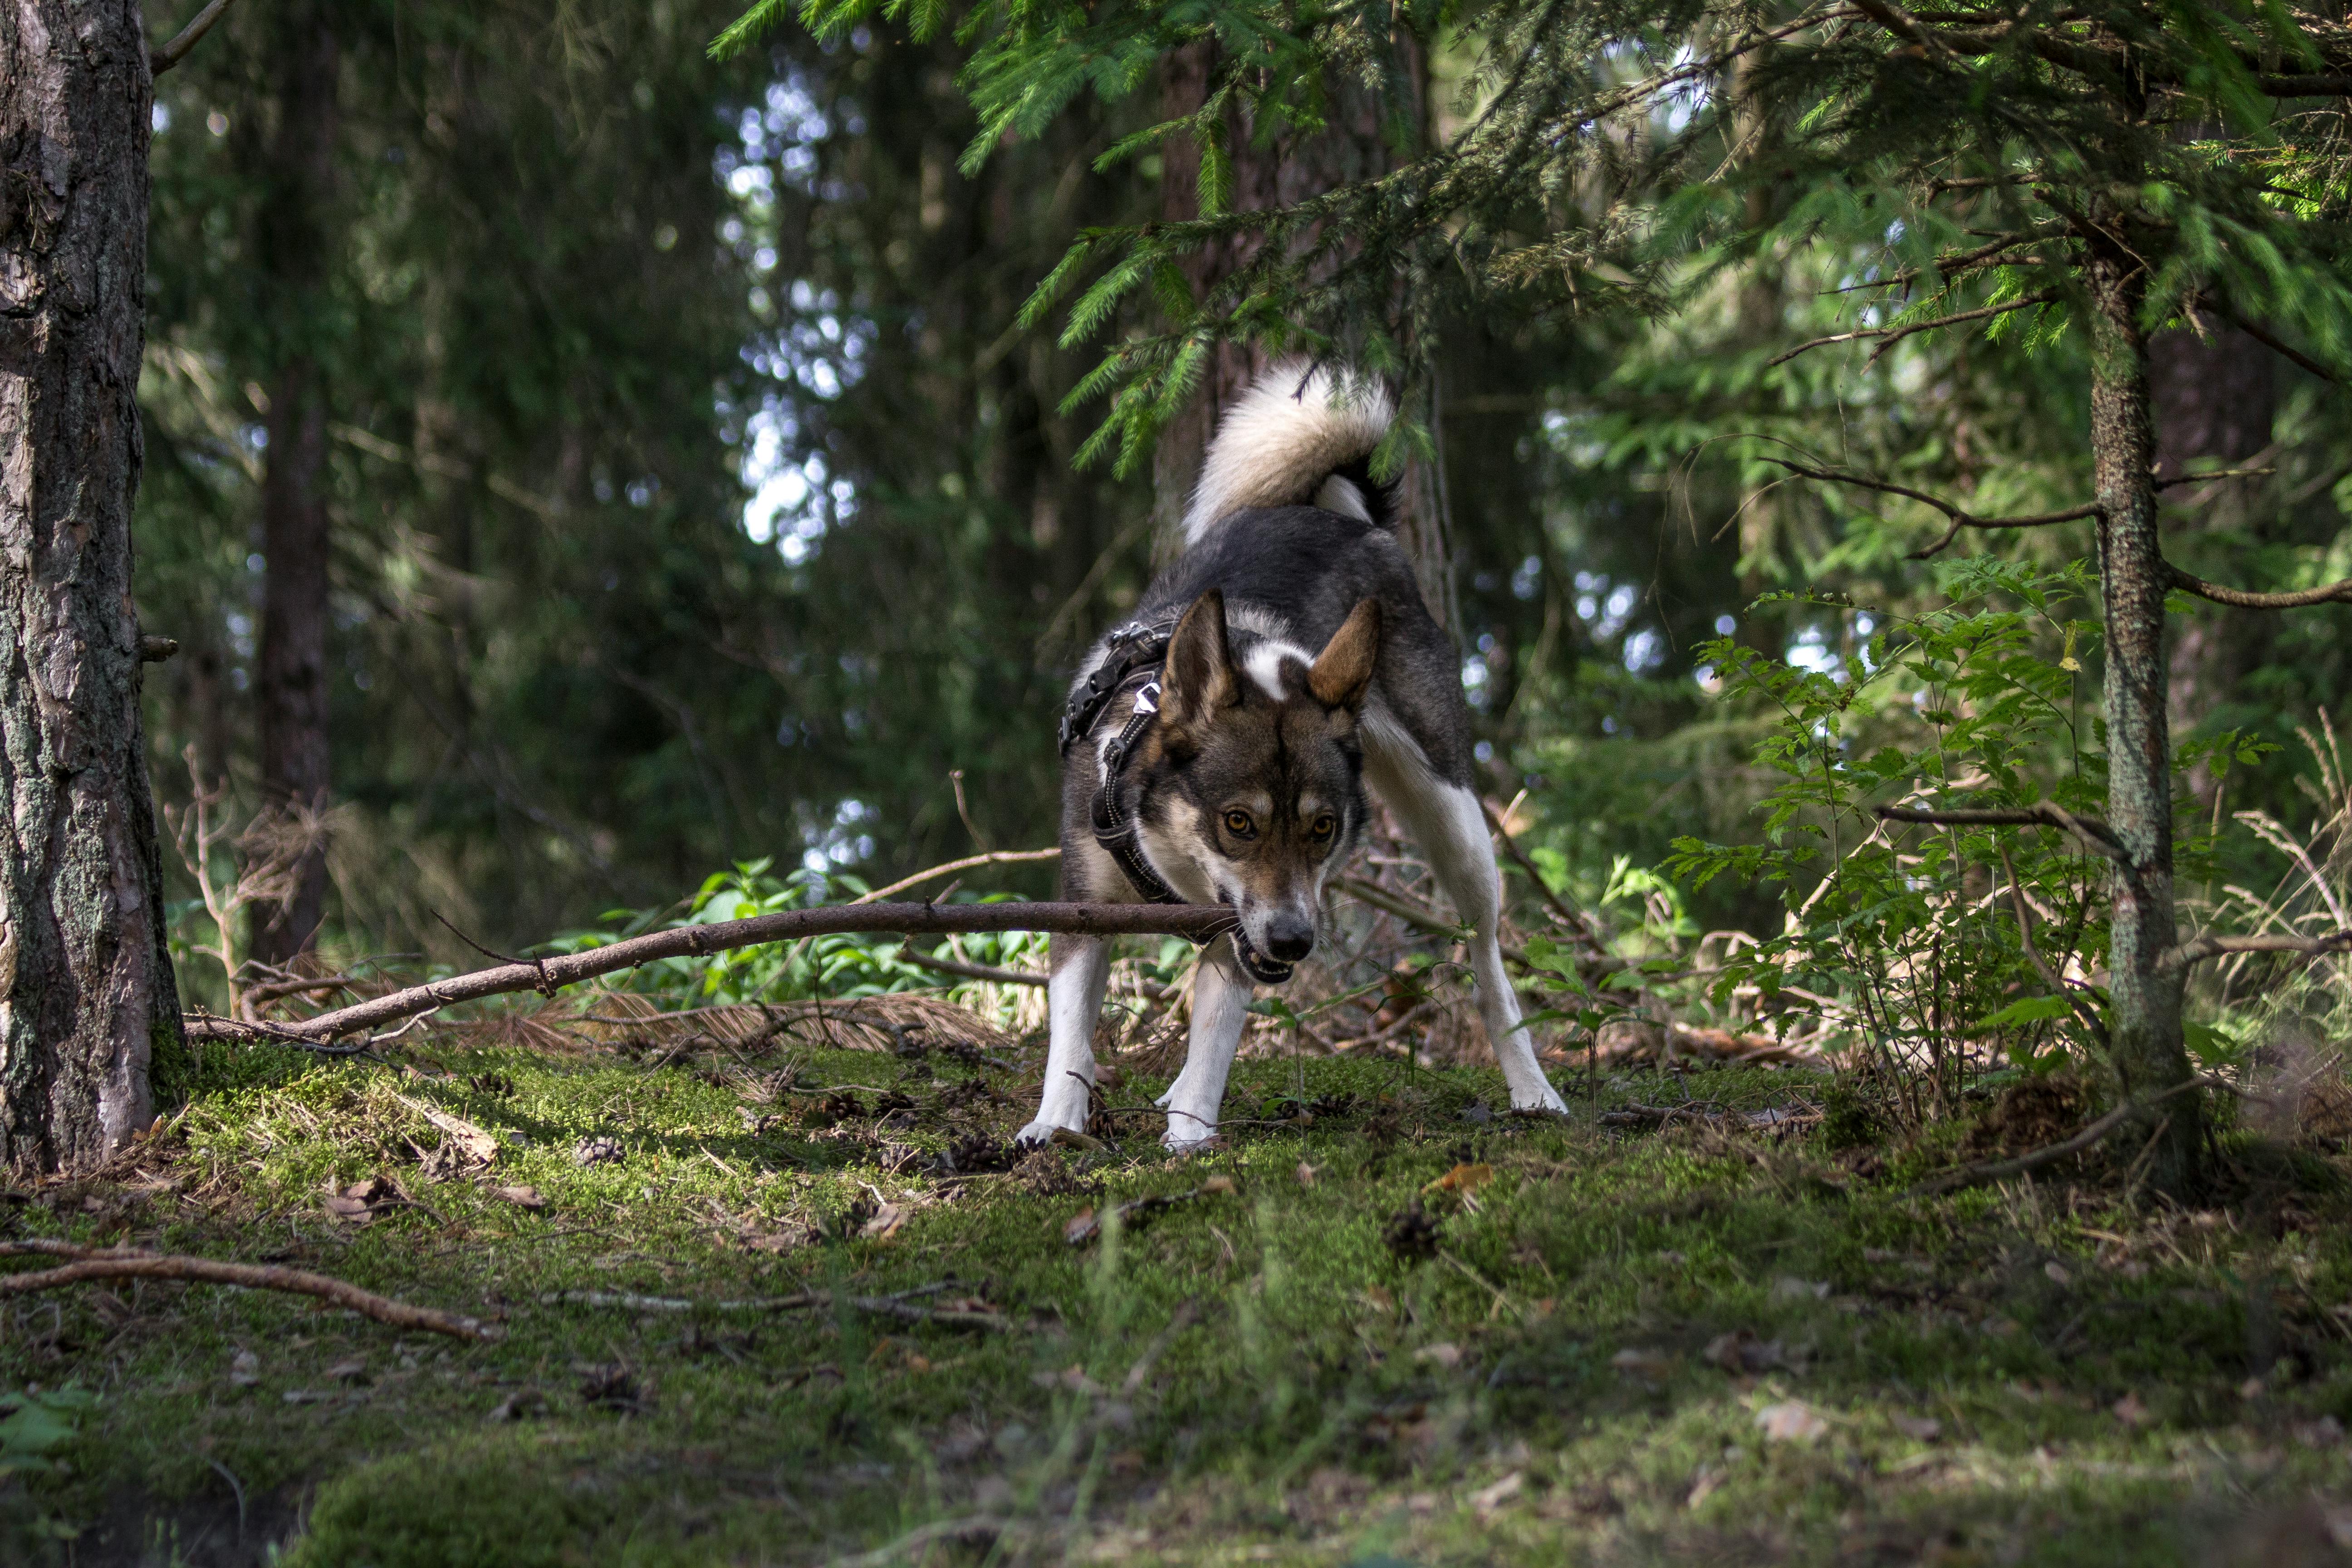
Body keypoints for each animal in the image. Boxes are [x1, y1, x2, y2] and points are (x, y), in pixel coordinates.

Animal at [1020, 364, 1571, 1152]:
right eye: (1238, 822)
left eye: (1322, 828)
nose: (1294, 943)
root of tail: (1343, 519)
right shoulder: (1085, 909)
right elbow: (1071, 1034)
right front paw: (1055, 1125)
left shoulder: (1242, 932)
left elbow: (1213, 1038)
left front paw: (1191, 1136)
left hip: (1453, 819)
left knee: (1490, 962)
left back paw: (1532, 1087)